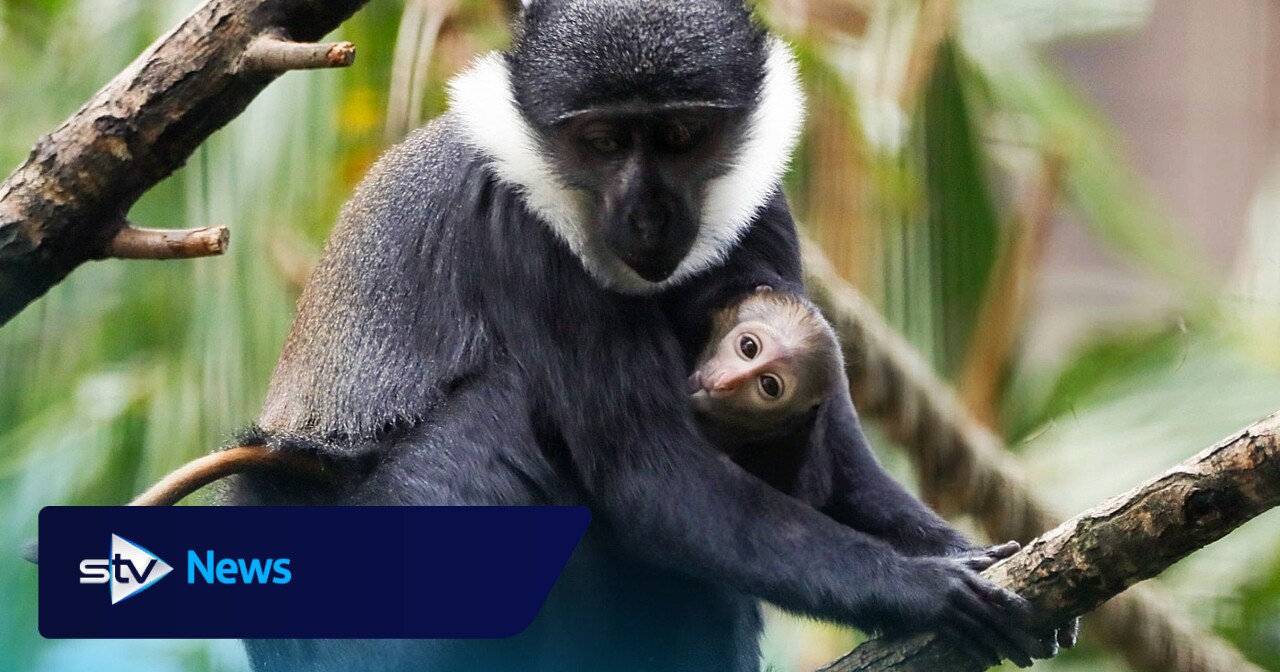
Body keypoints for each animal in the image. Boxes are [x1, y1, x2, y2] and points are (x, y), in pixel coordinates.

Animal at [222, 1, 1074, 670]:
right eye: (602, 142)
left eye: (681, 133)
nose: (647, 215)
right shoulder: (521, 234)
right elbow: (650, 477)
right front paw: (921, 590)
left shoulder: (763, 214)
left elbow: (834, 459)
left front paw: (956, 550)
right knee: (503, 416)